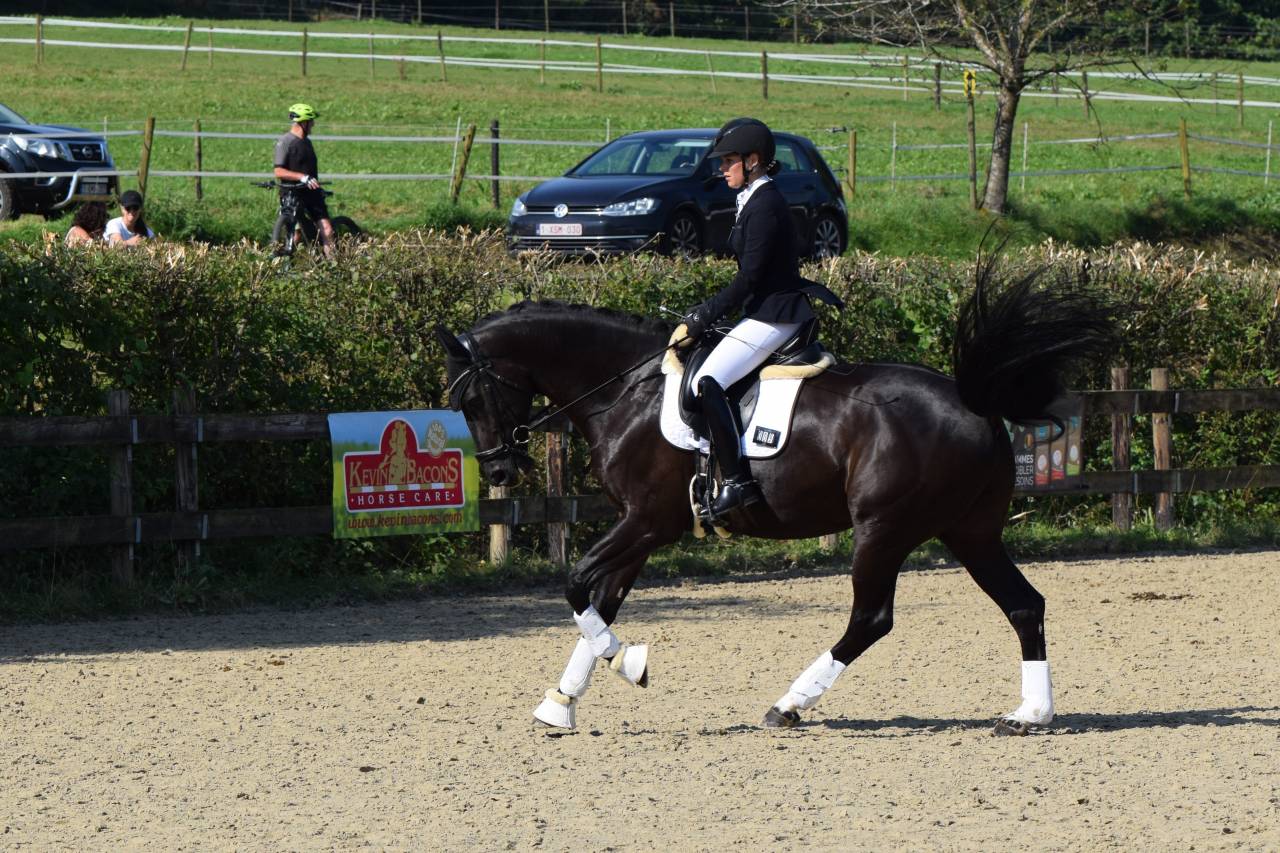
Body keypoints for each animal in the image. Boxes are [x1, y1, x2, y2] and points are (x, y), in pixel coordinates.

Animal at [435, 263, 1113, 735]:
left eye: (471, 398)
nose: (500, 470)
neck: (626, 390)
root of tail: (975, 403)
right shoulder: (642, 528)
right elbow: (599, 602)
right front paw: (561, 703)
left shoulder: (648, 521)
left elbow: (578, 586)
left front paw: (632, 663)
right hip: (969, 531)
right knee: (1024, 605)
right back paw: (1029, 715)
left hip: (883, 528)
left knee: (872, 618)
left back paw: (789, 704)